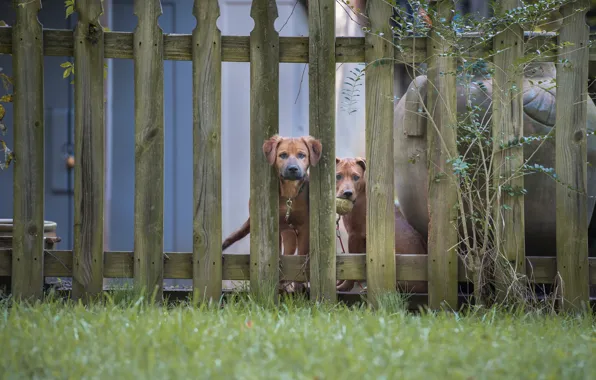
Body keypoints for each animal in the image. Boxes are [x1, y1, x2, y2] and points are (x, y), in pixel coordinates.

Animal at [221, 134, 322, 262]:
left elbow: (302, 253)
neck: (289, 194)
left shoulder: (304, 227)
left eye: (301, 155)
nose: (293, 169)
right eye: (283, 155)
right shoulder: (275, 227)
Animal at [336, 156, 428, 292]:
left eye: (356, 177)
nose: (347, 193)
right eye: (338, 176)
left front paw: (345, 286)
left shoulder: (354, 236)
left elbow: (350, 267)